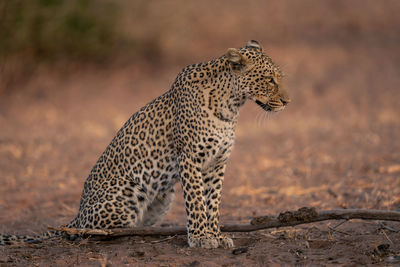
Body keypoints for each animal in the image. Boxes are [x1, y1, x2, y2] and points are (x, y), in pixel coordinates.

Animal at [0, 39, 290, 249]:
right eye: (270, 79)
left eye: (278, 78)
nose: (288, 101)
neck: (231, 105)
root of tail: (78, 213)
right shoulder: (190, 159)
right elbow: (197, 201)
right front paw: (201, 238)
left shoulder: (218, 163)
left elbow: (213, 202)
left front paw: (216, 235)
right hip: (125, 196)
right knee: (84, 232)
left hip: (163, 198)